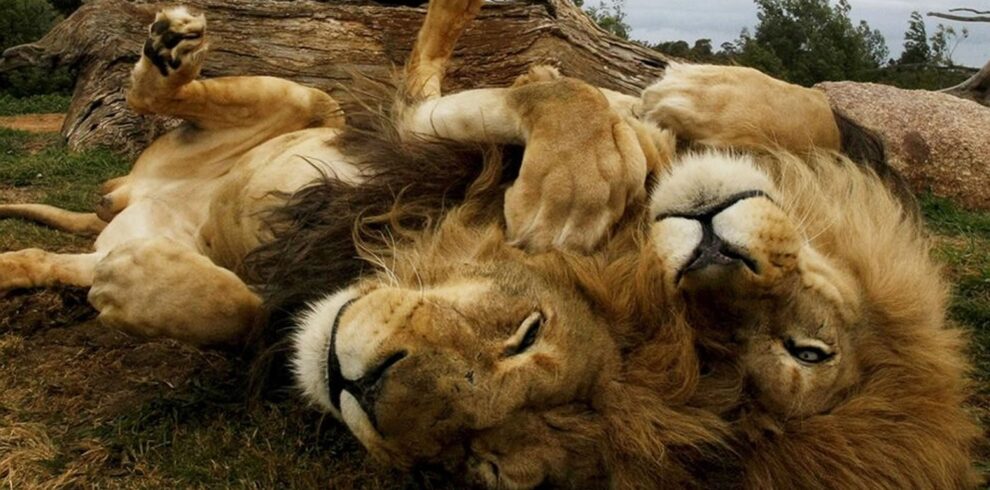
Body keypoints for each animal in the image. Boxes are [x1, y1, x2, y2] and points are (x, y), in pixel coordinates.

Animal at [0, 0, 984, 486]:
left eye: (484, 468)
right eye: (527, 331)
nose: (359, 384)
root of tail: (130, 191)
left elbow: (240, 308)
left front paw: (140, 287)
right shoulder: (437, 139)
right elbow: (564, 100)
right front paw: (582, 172)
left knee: (55, 255)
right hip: (303, 102)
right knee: (177, 92)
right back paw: (172, 46)